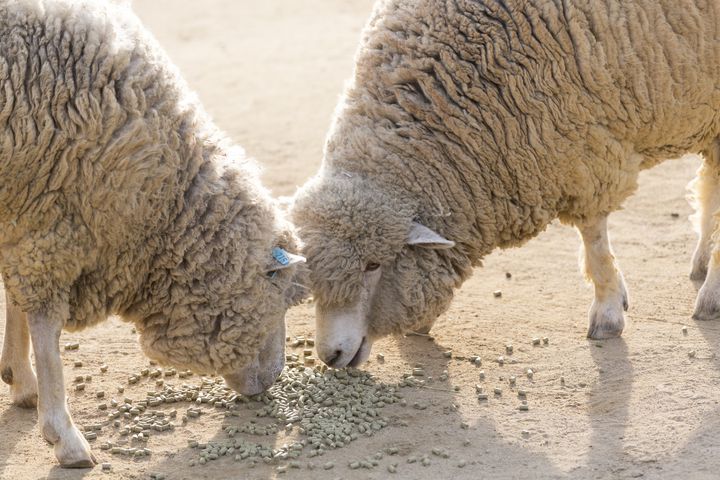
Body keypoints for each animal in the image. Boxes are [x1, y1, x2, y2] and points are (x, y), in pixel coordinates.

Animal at [0, 0, 306, 466]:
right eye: (280, 295)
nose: (273, 379)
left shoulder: (26, 212)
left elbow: (16, 300)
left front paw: (19, 377)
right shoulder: (50, 221)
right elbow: (45, 325)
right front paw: (63, 434)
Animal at [292, 0, 720, 368]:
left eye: (373, 265)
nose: (329, 355)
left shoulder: (582, 145)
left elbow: (594, 237)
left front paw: (608, 311)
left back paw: (711, 293)